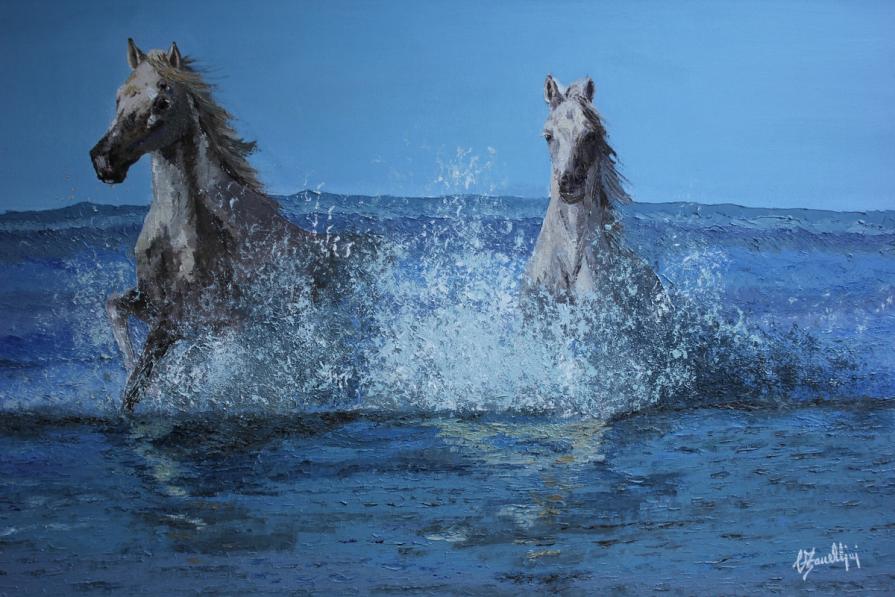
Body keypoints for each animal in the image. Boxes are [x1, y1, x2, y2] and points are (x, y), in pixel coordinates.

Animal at [90, 39, 321, 412]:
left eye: (162, 102)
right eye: (118, 97)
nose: (104, 161)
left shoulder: (181, 318)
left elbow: (139, 379)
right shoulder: (151, 301)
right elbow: (114, 308)